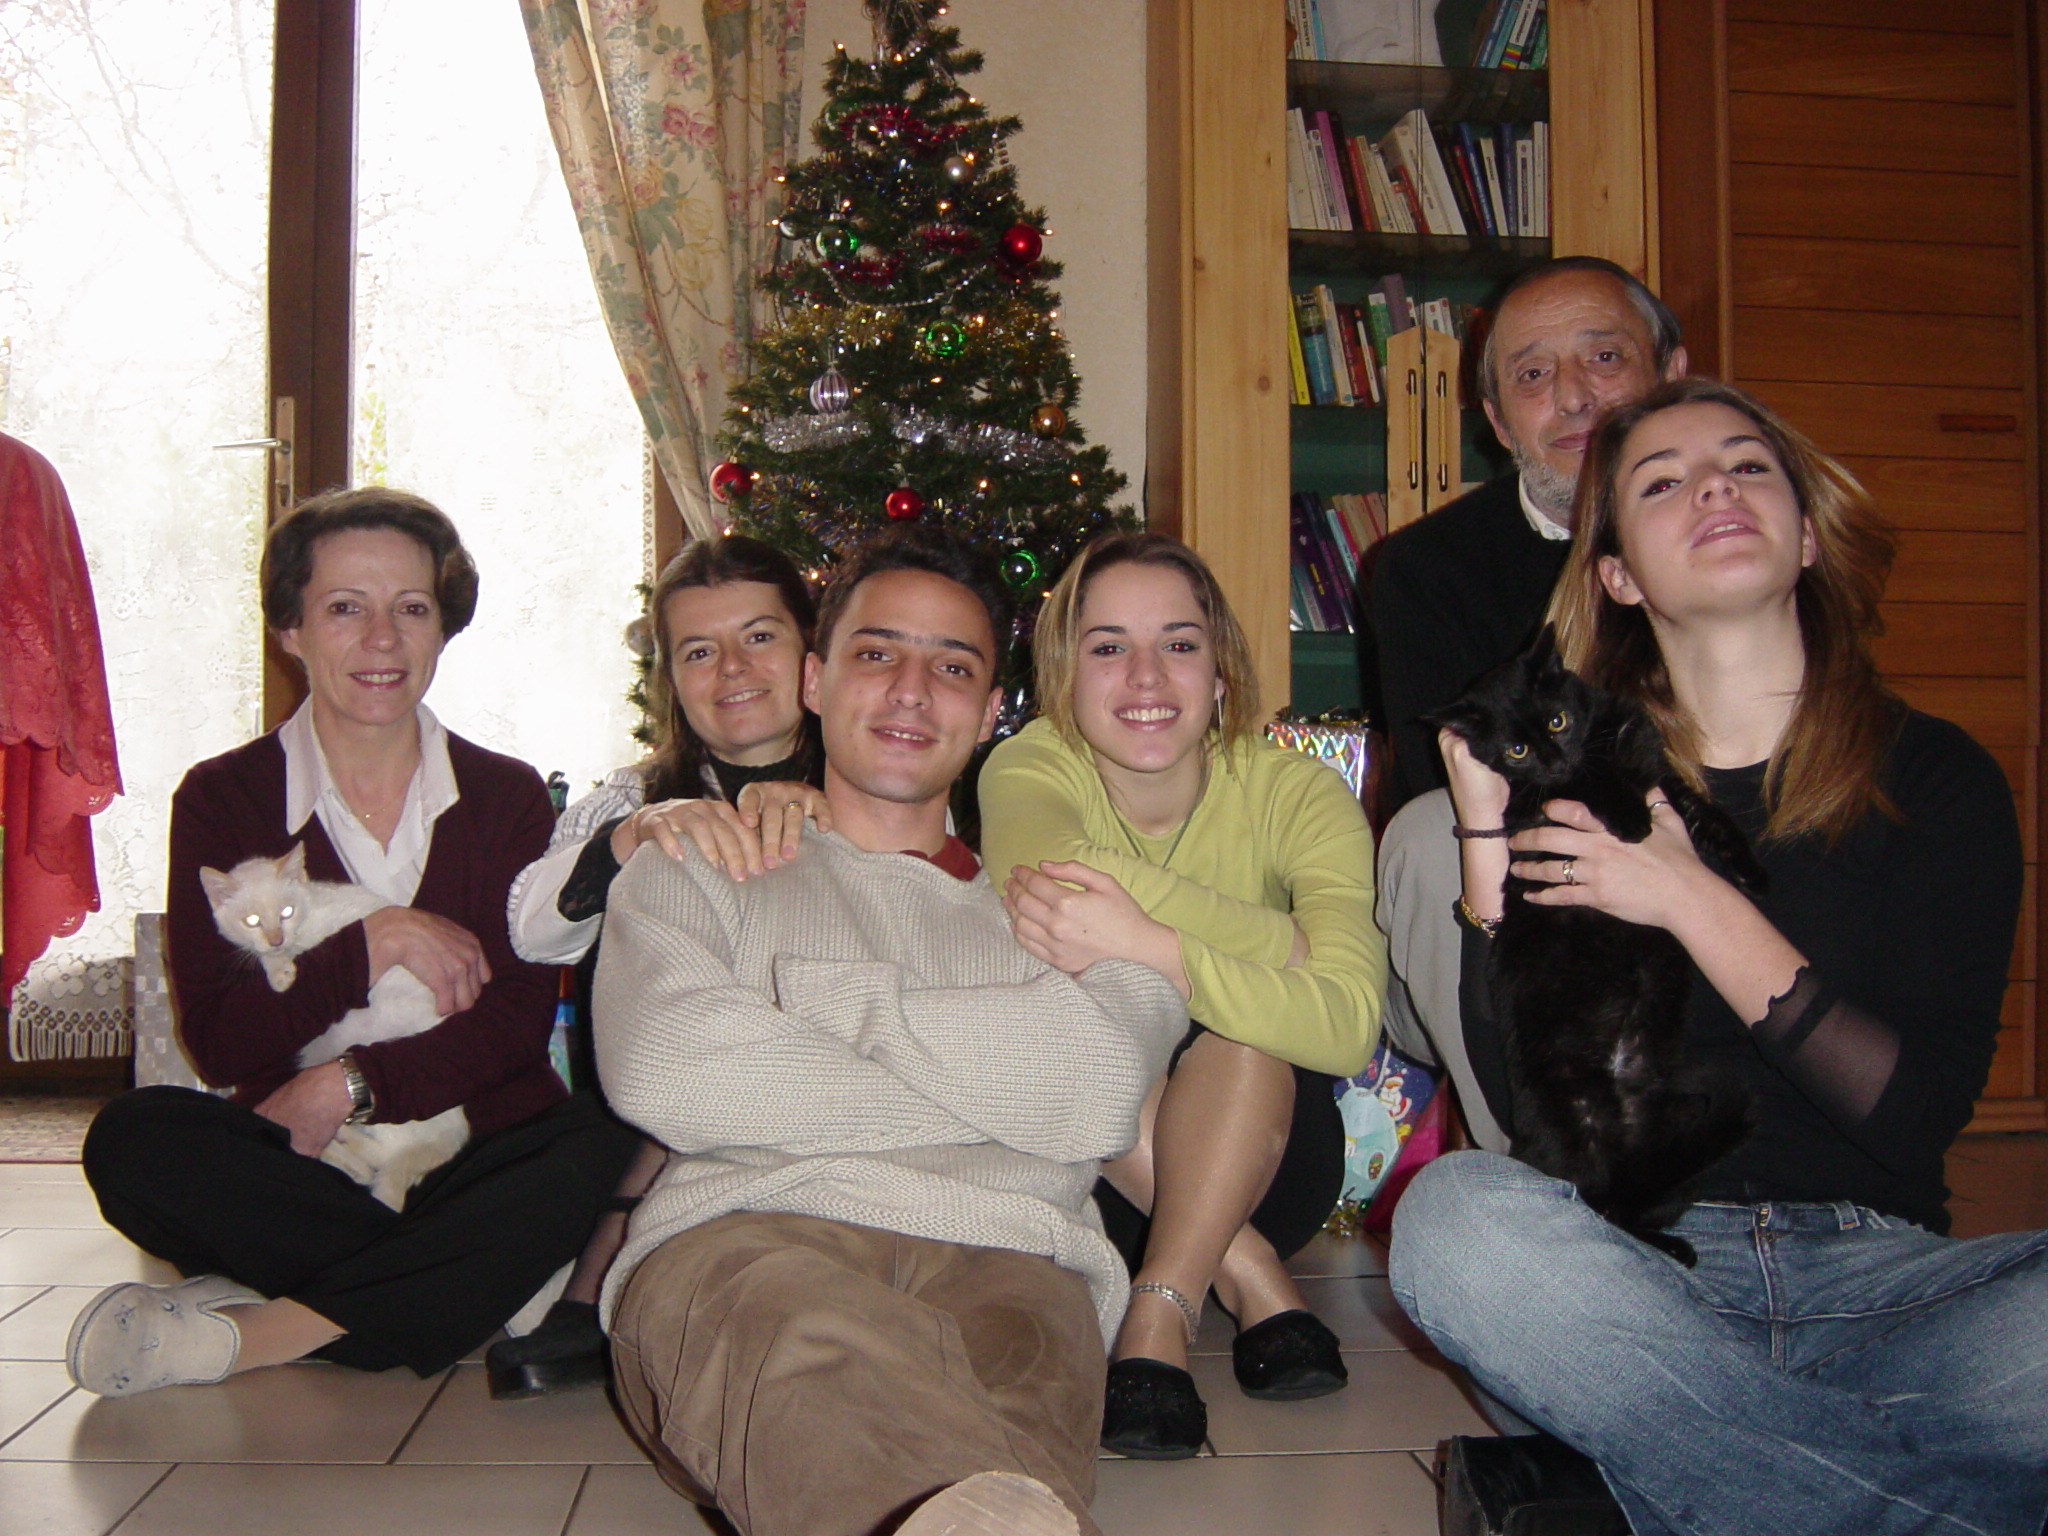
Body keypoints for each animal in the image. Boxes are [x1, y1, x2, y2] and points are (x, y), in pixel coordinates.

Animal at [198, 844, 469, 1211]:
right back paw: (340, 1154)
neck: (310, 906)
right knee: (373, 1164)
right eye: (251, 920)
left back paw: (344, 1139)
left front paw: (279, 972)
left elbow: (286, 957)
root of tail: (454, 1134)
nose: (275, 938)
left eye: (286, 911)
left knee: (386, 1155)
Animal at [1432, 629, 1762, 1265]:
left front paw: (1748, 869)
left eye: (1557, 721)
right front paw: (1631, 822)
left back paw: (1675, 1249)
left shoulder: (1655, 770)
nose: (1554, 757)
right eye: (1516, 750)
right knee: (1599, 1206)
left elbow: (1699, 809)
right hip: (1576, 1128)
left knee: (1629, 1206)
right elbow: (1589, 789)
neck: (1597, 748)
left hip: (1675, 1150)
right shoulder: (1538, 807)